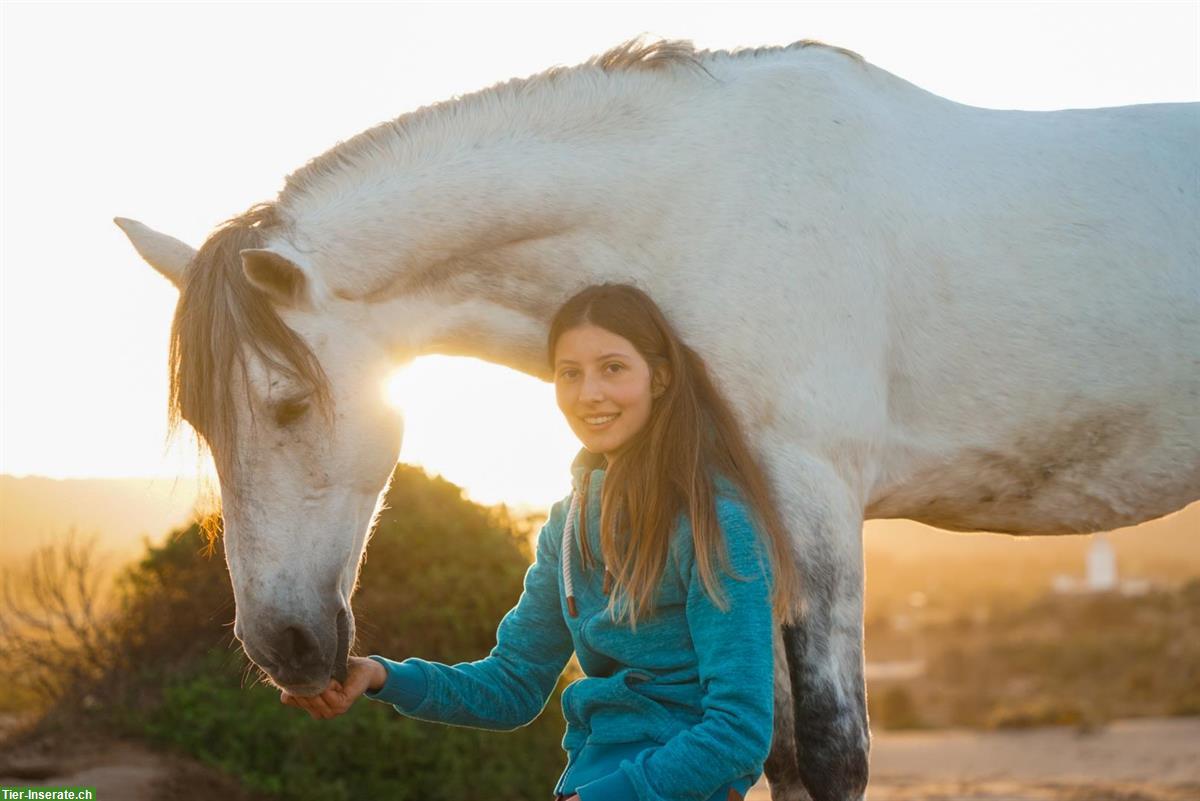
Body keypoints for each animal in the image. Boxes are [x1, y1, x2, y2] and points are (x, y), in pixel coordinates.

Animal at [114, 38, 1200, 801]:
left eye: (289, 402)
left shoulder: (815, 500)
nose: (285, 646)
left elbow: (835, 752)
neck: (705, 212)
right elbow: (774, 750)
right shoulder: (748, 517)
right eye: (202, 424)